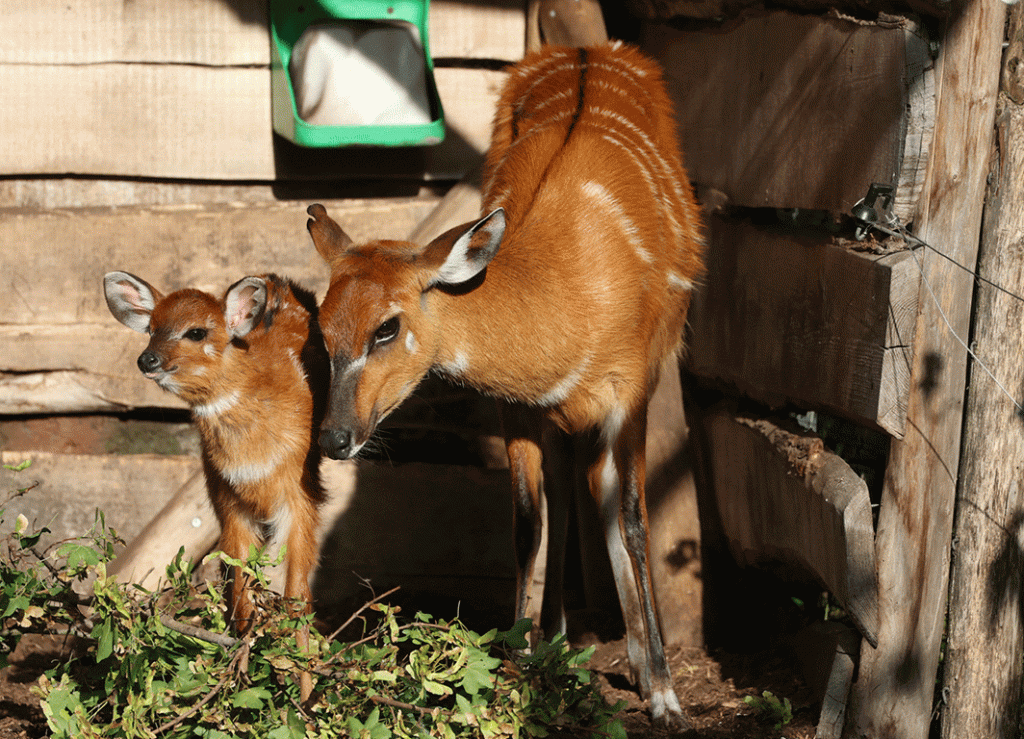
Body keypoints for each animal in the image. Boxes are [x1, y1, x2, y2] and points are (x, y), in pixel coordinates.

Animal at [303, 41, 704, 724]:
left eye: (387, 327)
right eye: (323, 329)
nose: (334, 439)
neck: (565, 292)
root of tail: (587, 47)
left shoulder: (631, 392)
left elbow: (633, 518)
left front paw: (664, 696)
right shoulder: (518, 408)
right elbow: (526, 521)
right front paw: (520, 661)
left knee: (604, 495)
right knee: (570, 490)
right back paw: (560, 642)